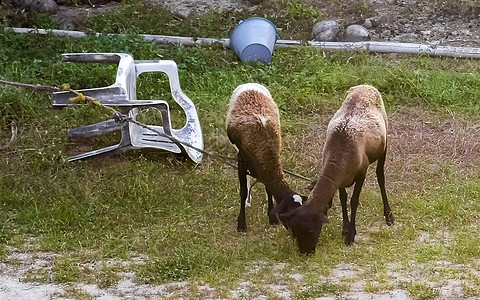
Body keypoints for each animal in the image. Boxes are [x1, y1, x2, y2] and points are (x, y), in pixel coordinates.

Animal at [227, 83, 306, 233]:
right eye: (291, 216)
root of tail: (249, 84)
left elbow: (268, 188)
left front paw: (272, 216)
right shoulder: (242, 161)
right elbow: (243, 191)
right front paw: (241, 223)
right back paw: (248, 200)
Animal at [280, 84, 392, 253]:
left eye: (311, 230)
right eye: (295, 230)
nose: (305, 253)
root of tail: (366, 85)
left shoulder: (362, 172)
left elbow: (354, 201)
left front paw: (351, 234)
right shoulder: (340, 179)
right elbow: (343, 198)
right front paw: (345, 227)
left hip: (383, 147)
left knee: (380, 177)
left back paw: (388, 215)